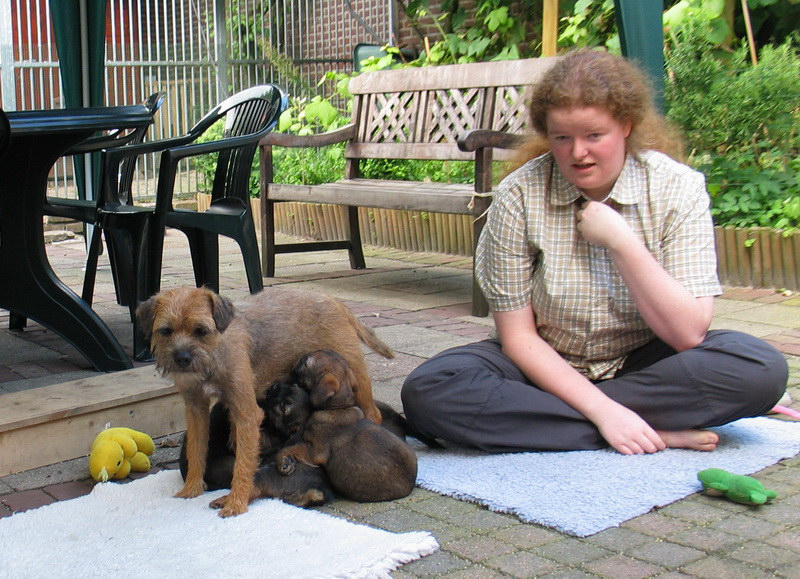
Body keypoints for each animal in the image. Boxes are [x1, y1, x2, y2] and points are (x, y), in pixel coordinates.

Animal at [136, 286, 394, 516]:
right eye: (166, 331)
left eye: (201, 330)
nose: (182, 358)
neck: (217, 351)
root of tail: (334, 301)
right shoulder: (196, 409)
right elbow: (196, 450)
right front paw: (191, 489)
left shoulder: (247, 413)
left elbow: (243, 464)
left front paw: (236, 503)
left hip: (355, 374)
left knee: (373, 413)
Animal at [277, 349, 417, 502]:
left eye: (307, 361)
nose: (299, 357)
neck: (338, 408)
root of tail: (411, 486)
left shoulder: (314, 450)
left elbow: (285, 449)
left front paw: (283, 463)